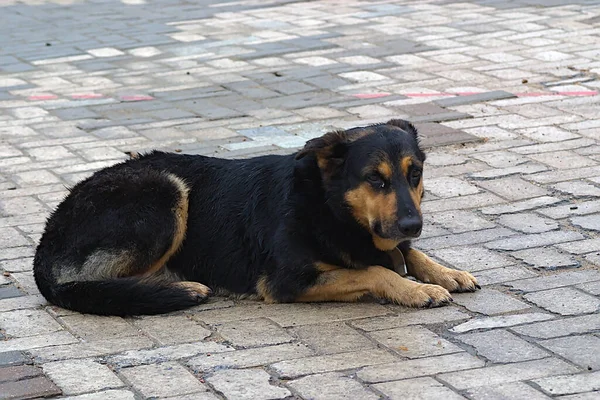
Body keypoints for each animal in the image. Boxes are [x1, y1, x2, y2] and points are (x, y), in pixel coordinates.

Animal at [32, 119, 478, 316]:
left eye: (414, 174)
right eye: (375, 179)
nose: (413, 225)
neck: (328, 206)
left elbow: (406, 254)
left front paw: (444, 272)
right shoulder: (284, 282)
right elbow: (376, 270)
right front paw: (415, 289)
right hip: (165, 190)